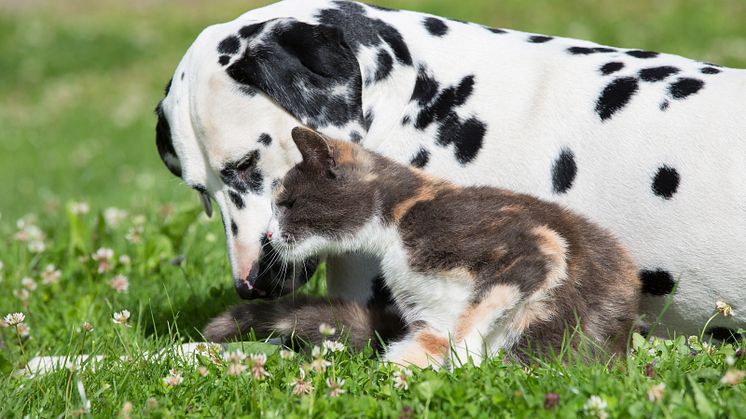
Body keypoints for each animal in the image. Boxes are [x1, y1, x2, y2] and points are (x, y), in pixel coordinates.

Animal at [205, 128, 640, 368]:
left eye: (287, 204)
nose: (268, 236)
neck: (396, 223)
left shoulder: (533, 242)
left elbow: (479, 310)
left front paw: (465, 362)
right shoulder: (431, 320)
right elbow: (416, 351)